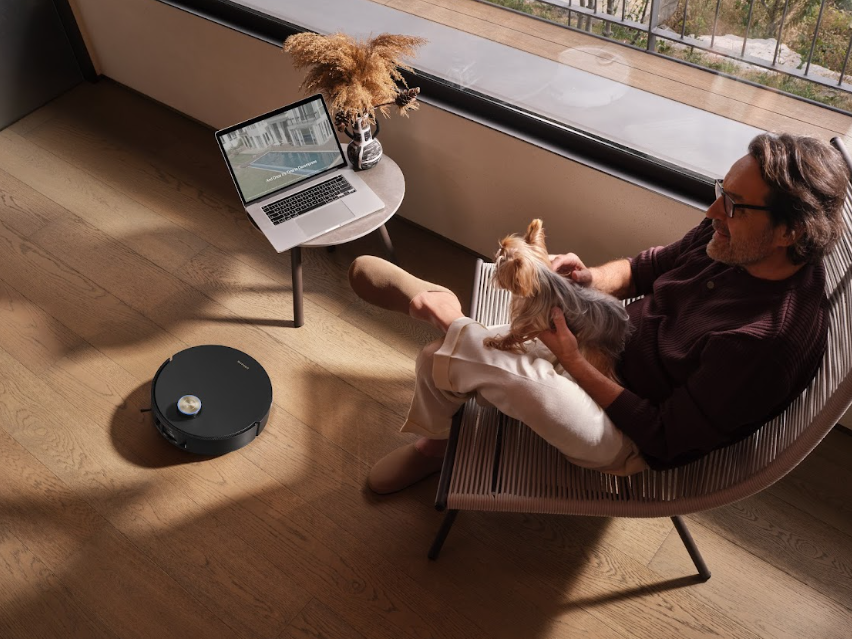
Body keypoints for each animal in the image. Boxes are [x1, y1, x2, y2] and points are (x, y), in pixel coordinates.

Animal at [482, 219, 631, 380]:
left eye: (503, 259)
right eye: (502, 247)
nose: (498, 250)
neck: (540, 278)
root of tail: (624, 320)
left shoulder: (533, 321)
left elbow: (515, 334)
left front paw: (495, 342)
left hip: (597, 348)